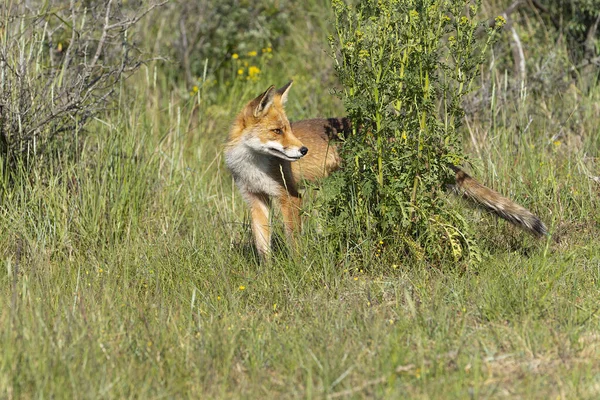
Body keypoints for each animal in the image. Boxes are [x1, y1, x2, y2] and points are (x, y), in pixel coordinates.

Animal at [225, 82, 548, 258]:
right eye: (277, 131)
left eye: (289, 129)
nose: (302, 150)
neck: (253, 164)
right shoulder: (255, 199)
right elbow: (262, 246)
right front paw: (268, 274)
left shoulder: (289, 197)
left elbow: (294, 242)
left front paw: (296, 266)